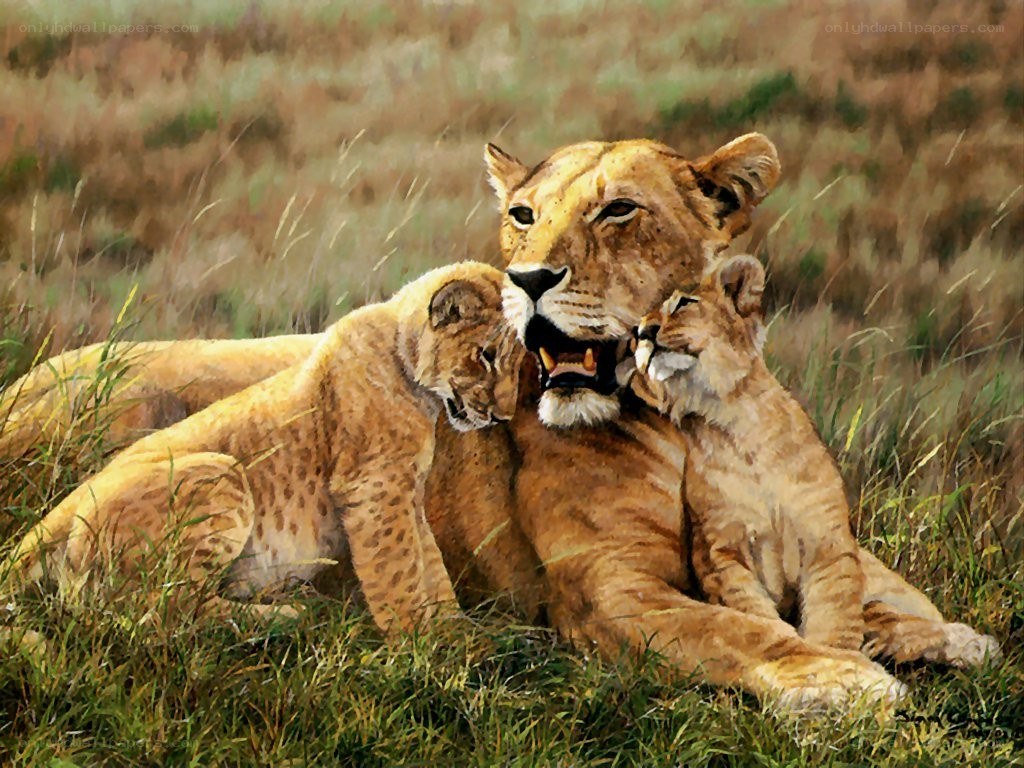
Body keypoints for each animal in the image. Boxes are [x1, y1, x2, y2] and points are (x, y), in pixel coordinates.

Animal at [4, 262, 523, 633]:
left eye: (522, 366)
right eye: (486, 356)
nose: (504, 414)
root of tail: (59, 513)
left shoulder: (406, 495)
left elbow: (428, 564)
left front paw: (454, 629)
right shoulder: (374, 489)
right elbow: (397, 570)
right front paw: (422, 646)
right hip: (220, 473)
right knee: (156, 611)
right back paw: (284, 616)